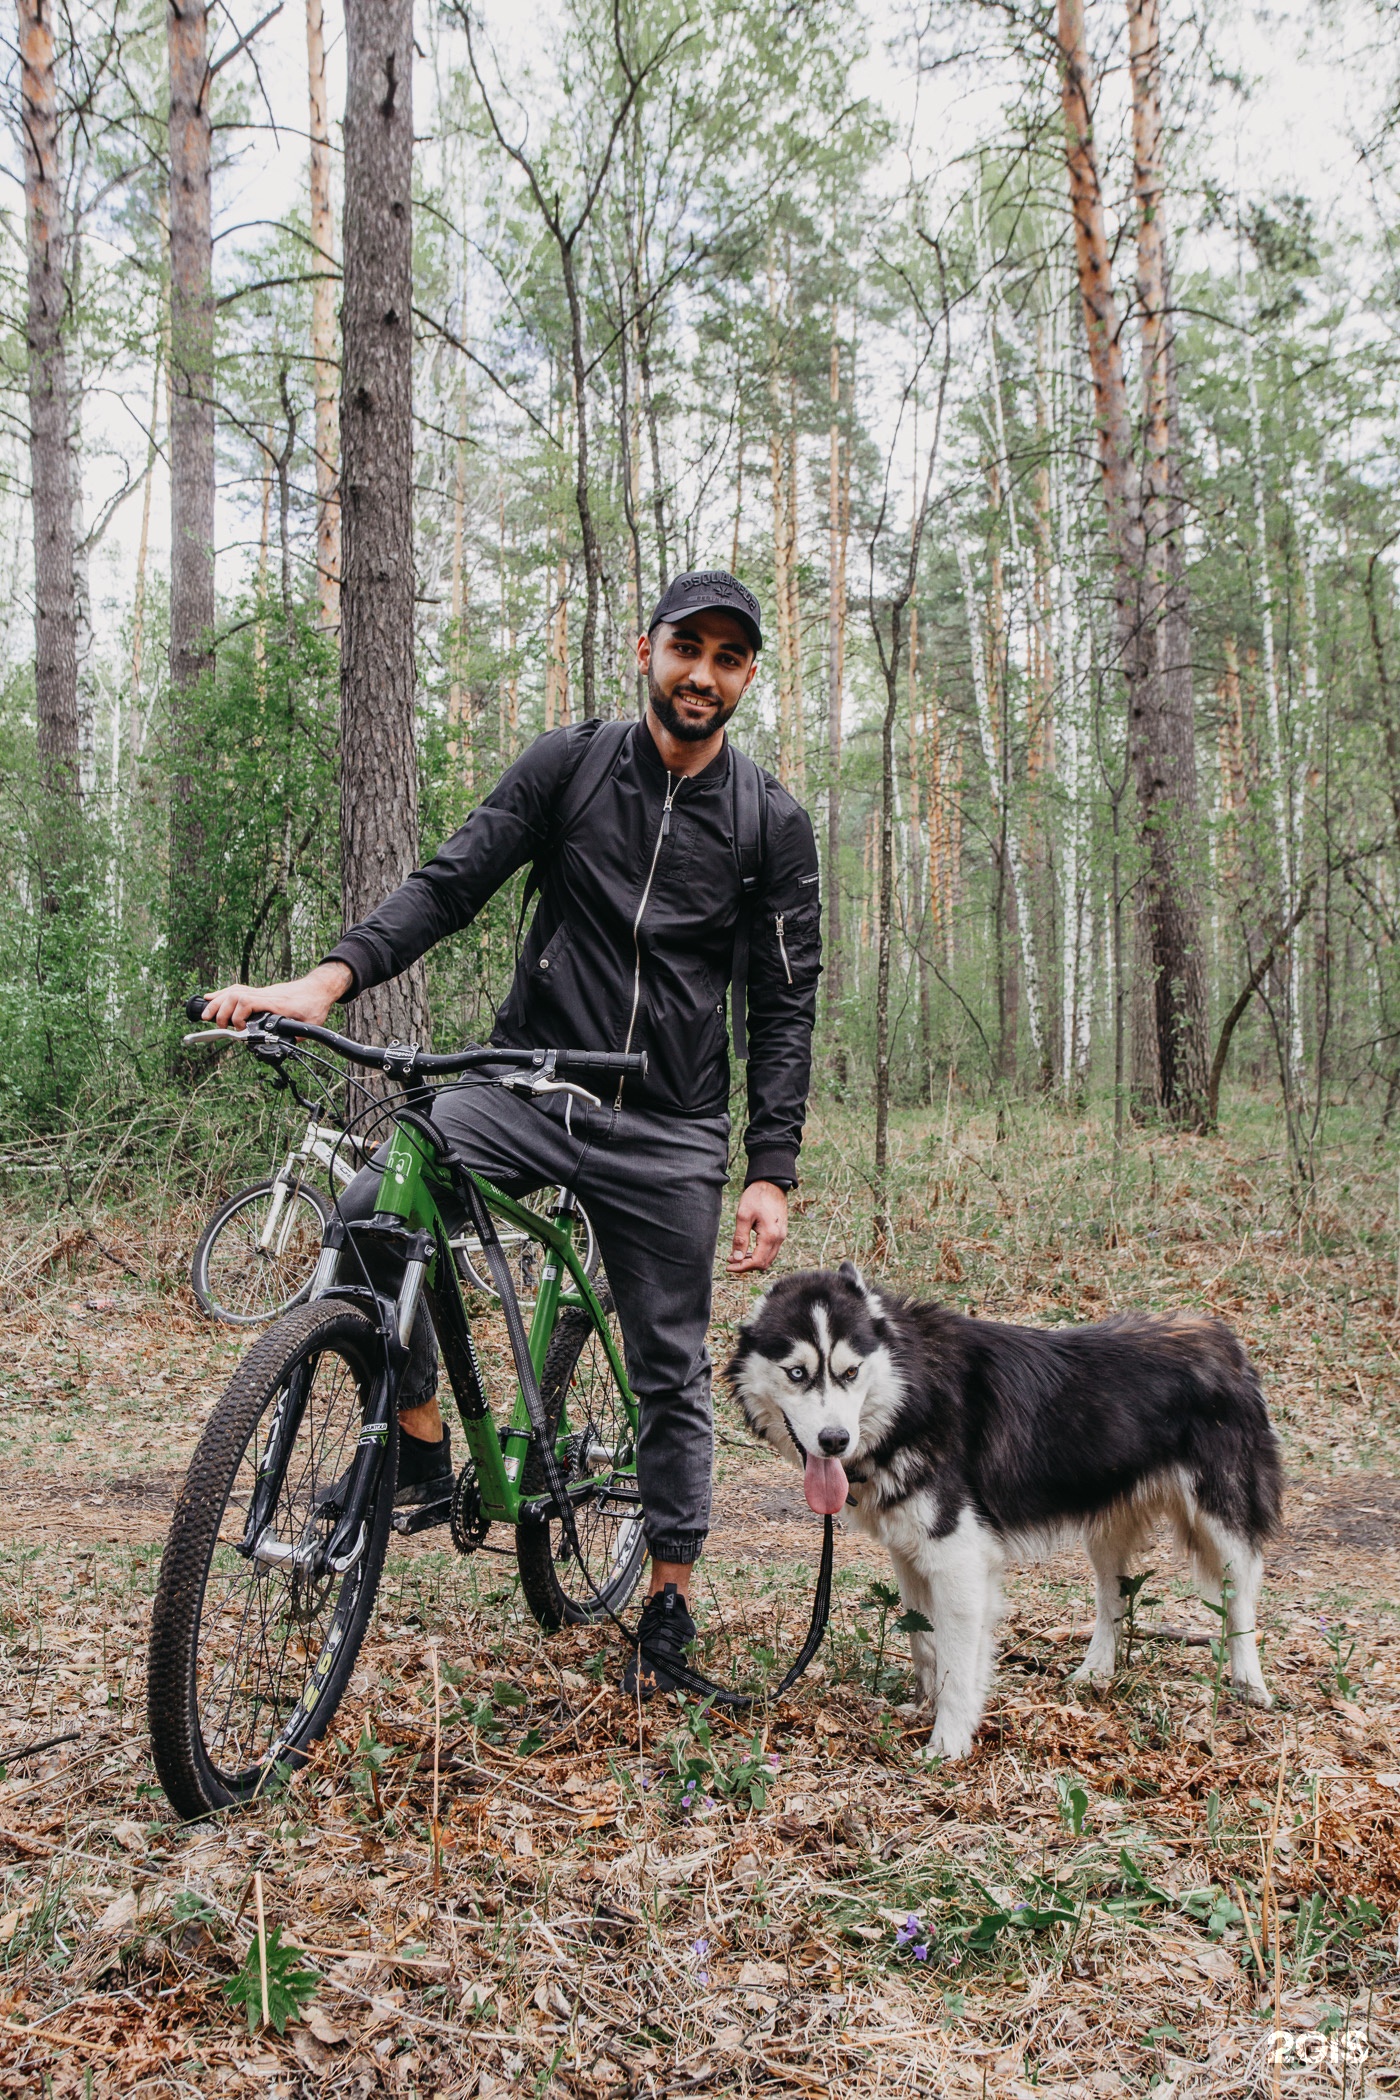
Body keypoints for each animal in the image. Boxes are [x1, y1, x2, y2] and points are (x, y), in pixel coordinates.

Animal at [730, 1260, 1284, 1755]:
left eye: (850, 1372)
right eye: (797, 1373)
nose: (834, 1440)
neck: (911, 1396)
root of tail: (1222, 1337)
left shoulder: (960, 1559)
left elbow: (957, 1663)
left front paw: (947, 1744)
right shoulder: (909, 1554)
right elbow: (925, 1644)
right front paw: (924, 1708)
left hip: (1223, 1521)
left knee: (1241, 1598)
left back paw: (1249, 1683)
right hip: (1104, 1530)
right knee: (1112, 1599)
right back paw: (1095, 1671)